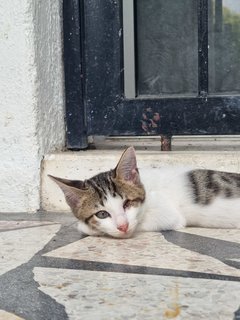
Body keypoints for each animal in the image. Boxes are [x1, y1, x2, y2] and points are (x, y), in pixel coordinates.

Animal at [48, 147, 240, 238]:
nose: (123, 226)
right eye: (102, 214)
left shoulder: (169, 215)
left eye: (127, 203)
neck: (144, 185)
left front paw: (85, 227)